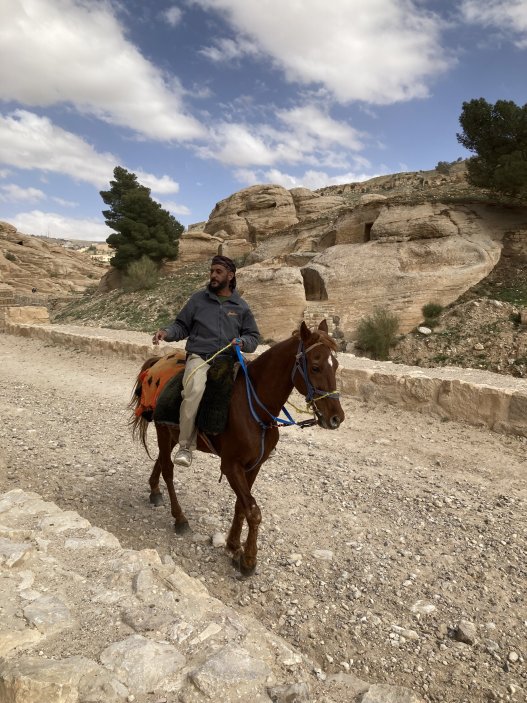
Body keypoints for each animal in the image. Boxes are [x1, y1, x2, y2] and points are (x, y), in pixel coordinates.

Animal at [131, 322, 346, 576]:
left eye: (336, 365)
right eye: (315, 366)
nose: (336, 418)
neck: (254, 407)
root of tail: (158, 362)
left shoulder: (253, 466)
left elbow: (241, 506)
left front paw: (234, 546)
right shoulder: (231, 466)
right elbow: (253, 511)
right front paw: (248, 560)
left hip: (174, 434)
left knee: (160, 462)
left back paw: (154, 491)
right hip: (163, 432)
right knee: (168, 470)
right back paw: (179, 518)